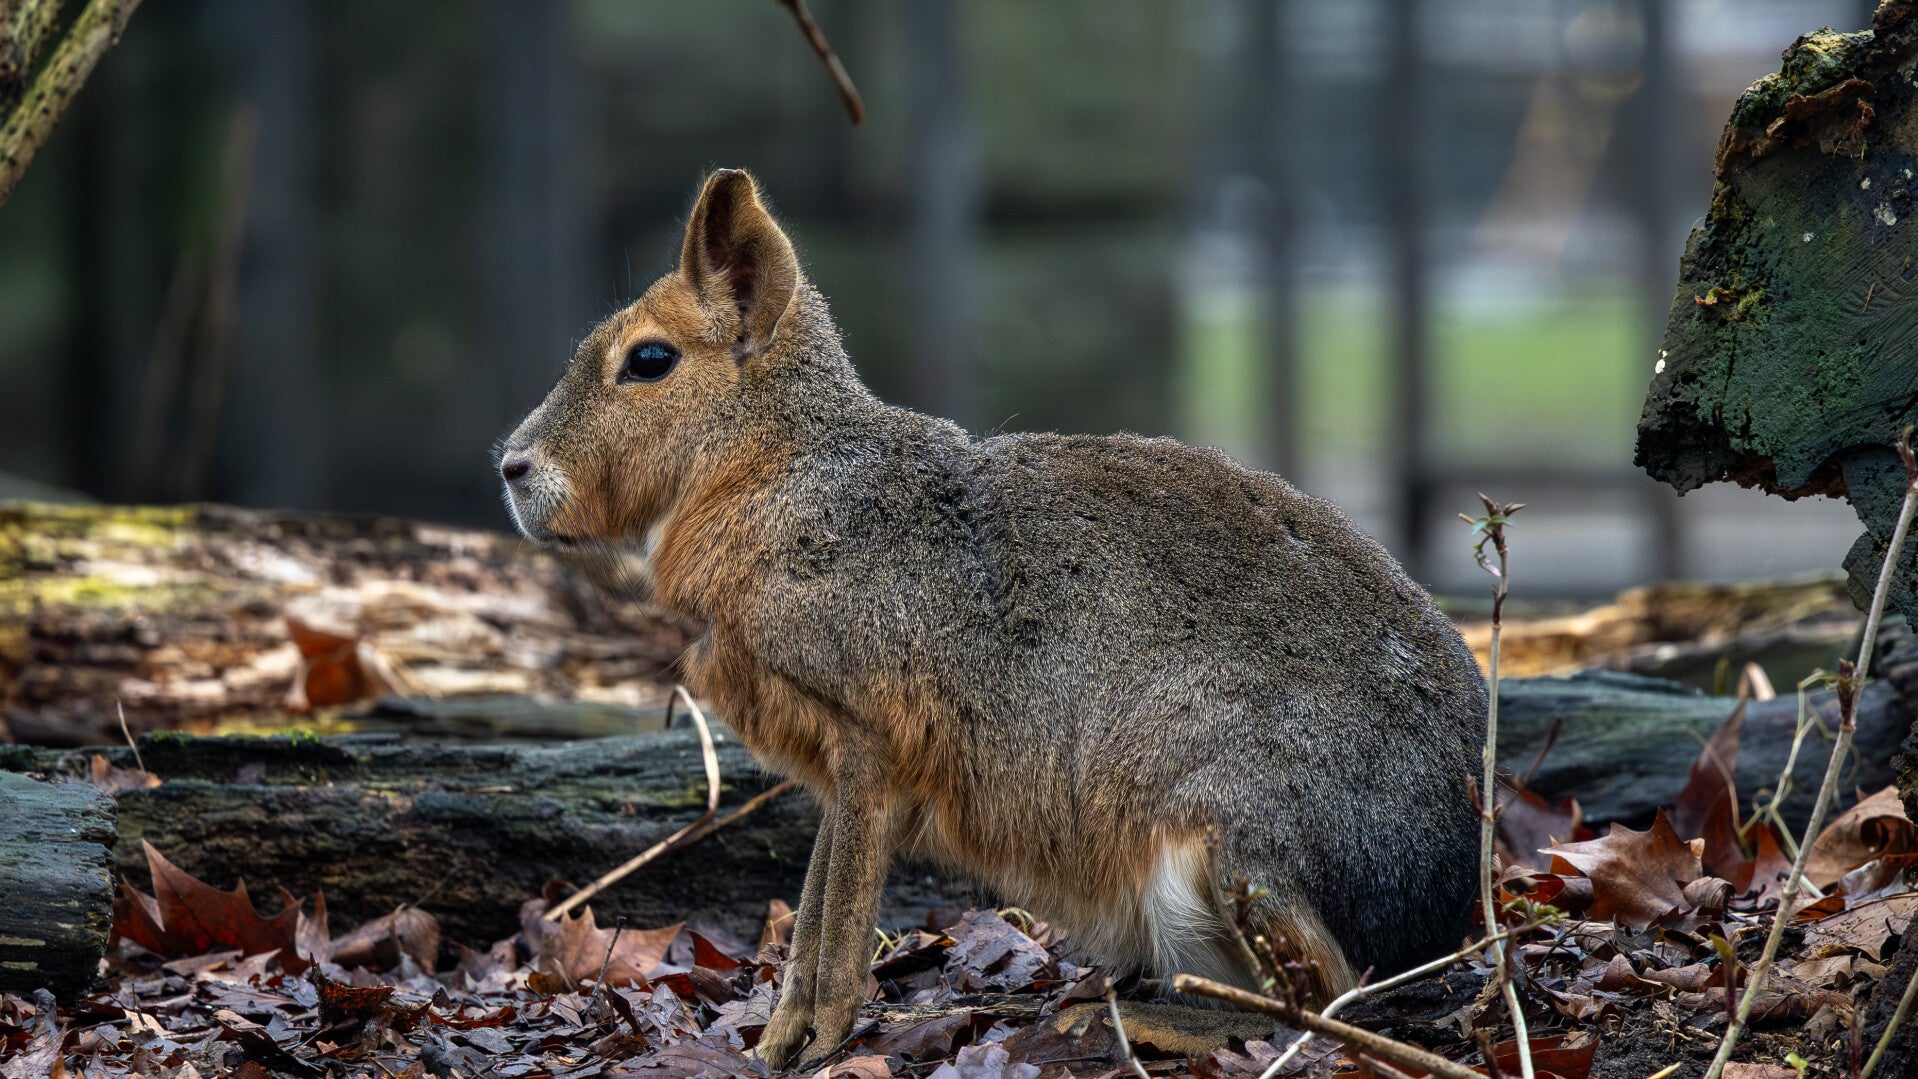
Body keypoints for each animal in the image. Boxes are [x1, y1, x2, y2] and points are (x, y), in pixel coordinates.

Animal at [499, 169, 1488, 1069]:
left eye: (649, 359)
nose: (512, 466)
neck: (778, 477)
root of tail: (1443, 903)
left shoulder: (871, 747)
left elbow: (839, 927)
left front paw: (820, 1044)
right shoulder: (835, 769)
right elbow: (812, 913)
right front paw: (774, 1045)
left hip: (1218, 832)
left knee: (1326, 1002)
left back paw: (1121, 1020)